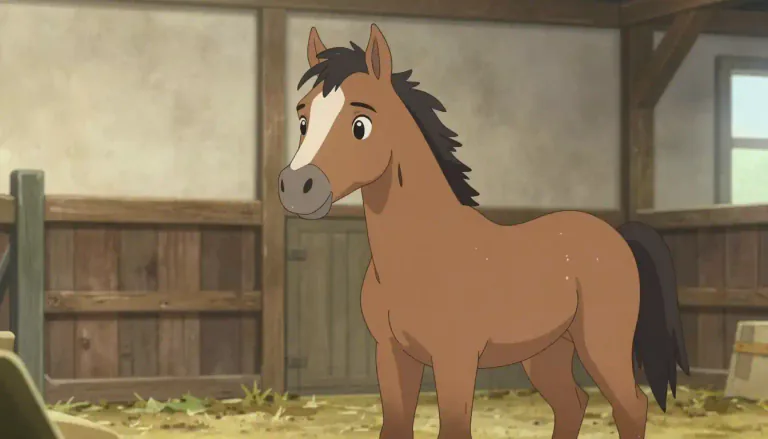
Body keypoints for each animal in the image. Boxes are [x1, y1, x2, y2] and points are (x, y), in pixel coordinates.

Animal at [278, 24, 690, 439]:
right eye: (302, 119)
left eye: (360, 125)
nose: (297, 187)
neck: (420, 252)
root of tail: (617, 235)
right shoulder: (392, 354)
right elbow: (395, 425)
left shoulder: (455, 359)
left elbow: (455, 427)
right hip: (547, 352)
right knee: (572, 404)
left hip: (602, 347)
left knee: (631, 407)